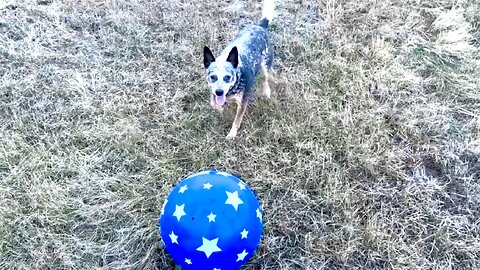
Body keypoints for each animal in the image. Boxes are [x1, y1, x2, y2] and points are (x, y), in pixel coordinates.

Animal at [202, 0, 276, 139]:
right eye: (212, 77)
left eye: (227, 77)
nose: (219, 92)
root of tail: (261, 26)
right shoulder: (213, 91)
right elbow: (213, 103)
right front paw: (221, 109)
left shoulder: (243, 102)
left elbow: (237, 119)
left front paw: (232, 133)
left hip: (266, 63)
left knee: (266, 78)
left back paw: (267, 91)